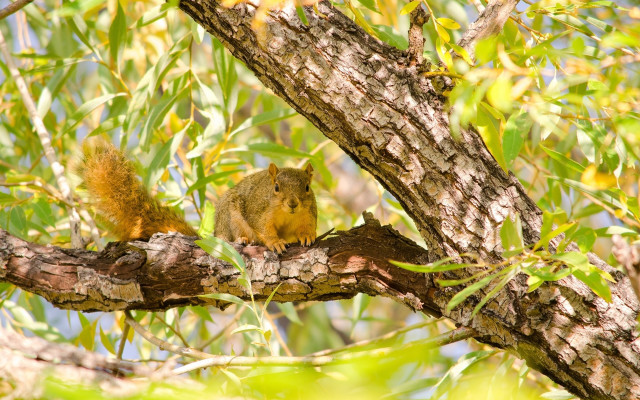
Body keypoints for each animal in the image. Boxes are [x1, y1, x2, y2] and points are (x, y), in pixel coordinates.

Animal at [77, 139, 317, 253]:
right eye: (276, 187)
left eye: (307, 187)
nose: (293, 203)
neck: (287, 215)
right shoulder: (259, 210)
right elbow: (263, 228)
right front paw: (275, 242)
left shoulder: (309, 213)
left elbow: (307, 227)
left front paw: (307, 236)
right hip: (228, 217)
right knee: (229, 235)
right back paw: (242, 239)